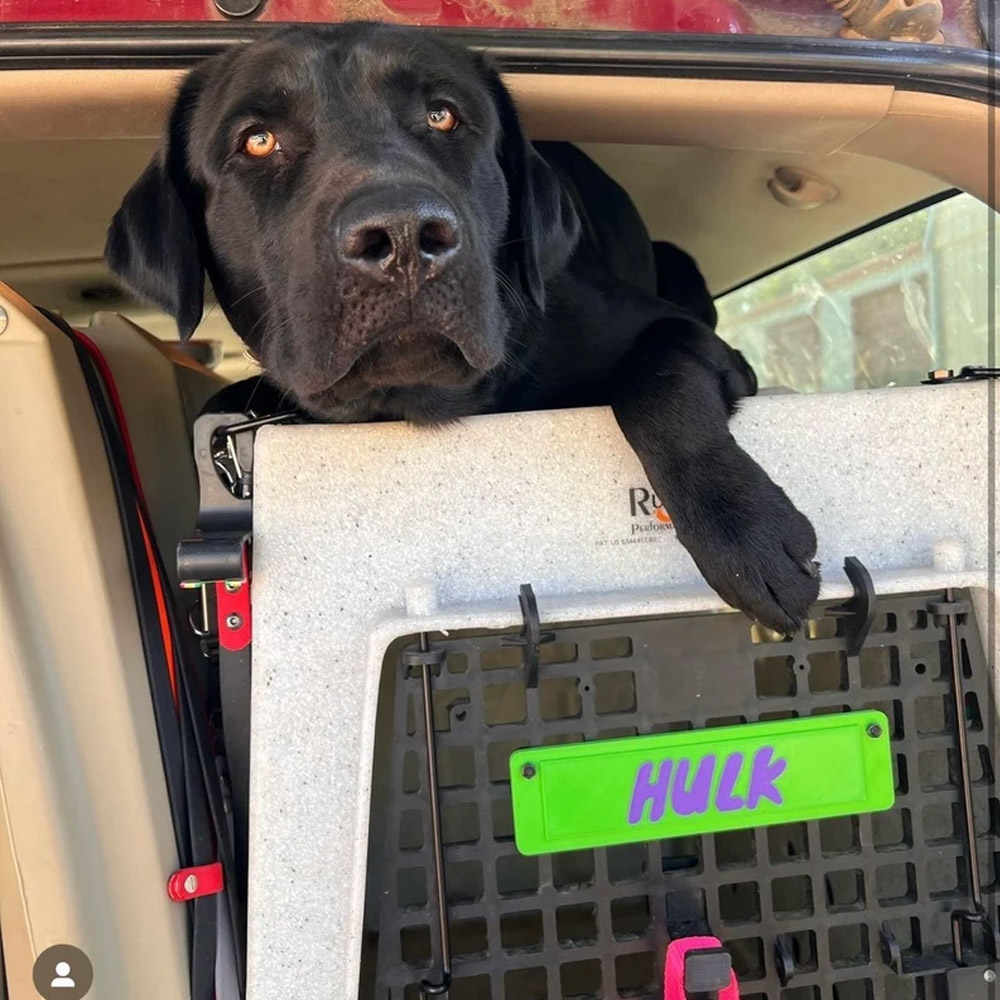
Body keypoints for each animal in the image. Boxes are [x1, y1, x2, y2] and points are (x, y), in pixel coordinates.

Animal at [105, 19, 820, 632]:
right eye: (257, 140)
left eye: (442, 115)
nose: (401, 235)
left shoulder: (677, 332)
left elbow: (658, 377)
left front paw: (745, 532)